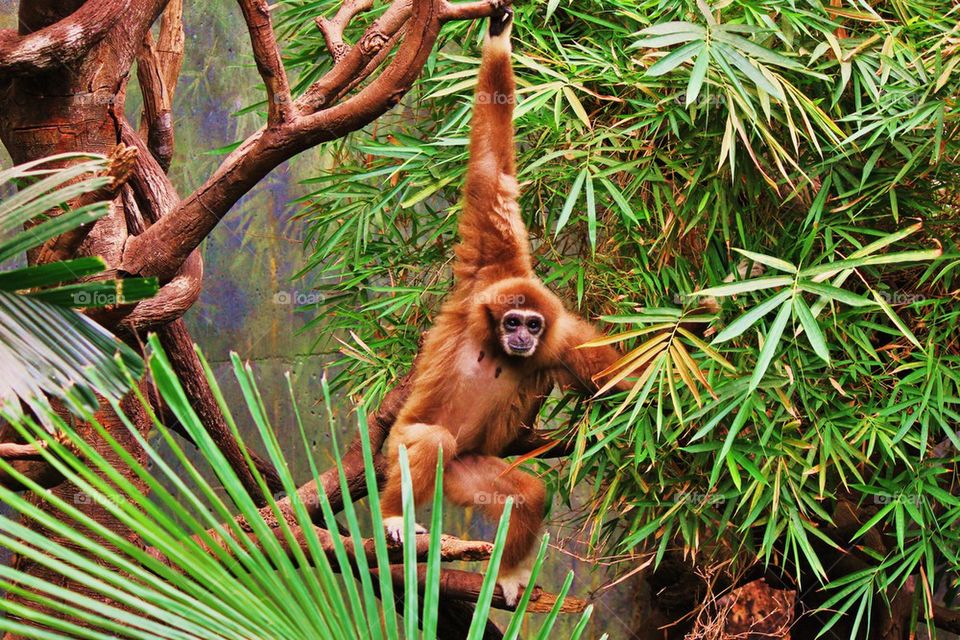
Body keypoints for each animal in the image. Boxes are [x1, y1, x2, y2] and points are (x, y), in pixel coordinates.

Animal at [379, 7, 627, 606]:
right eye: (511, 320)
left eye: (532, 325)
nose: (520, 338)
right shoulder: (487, 273)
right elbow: (491, 170)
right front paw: (498, 37)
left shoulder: (559, 338)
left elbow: (622, 379)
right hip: (400, 448)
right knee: (430, 439)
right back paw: (394, 518)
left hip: (467, 471)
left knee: (526, 493)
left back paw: (510, 574)